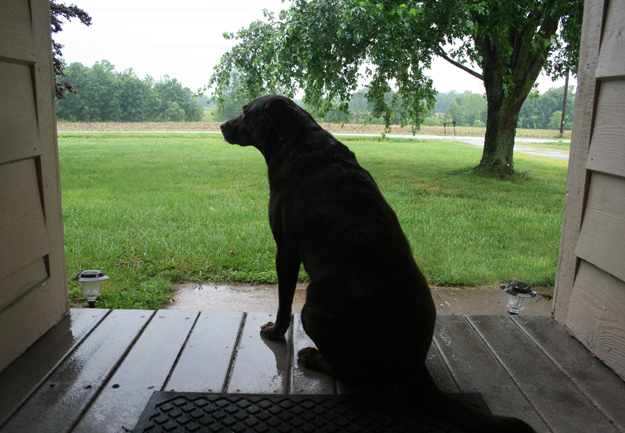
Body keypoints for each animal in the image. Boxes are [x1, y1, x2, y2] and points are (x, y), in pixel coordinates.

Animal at [218, 95, 532, 432]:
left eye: (246, 113)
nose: (221, 125)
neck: (295, 140)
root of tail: (414, 364)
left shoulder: (286, 251)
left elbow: (283, 304)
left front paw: (275, 332)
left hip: (313, 307)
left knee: (352, 374)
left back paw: (313, 357)